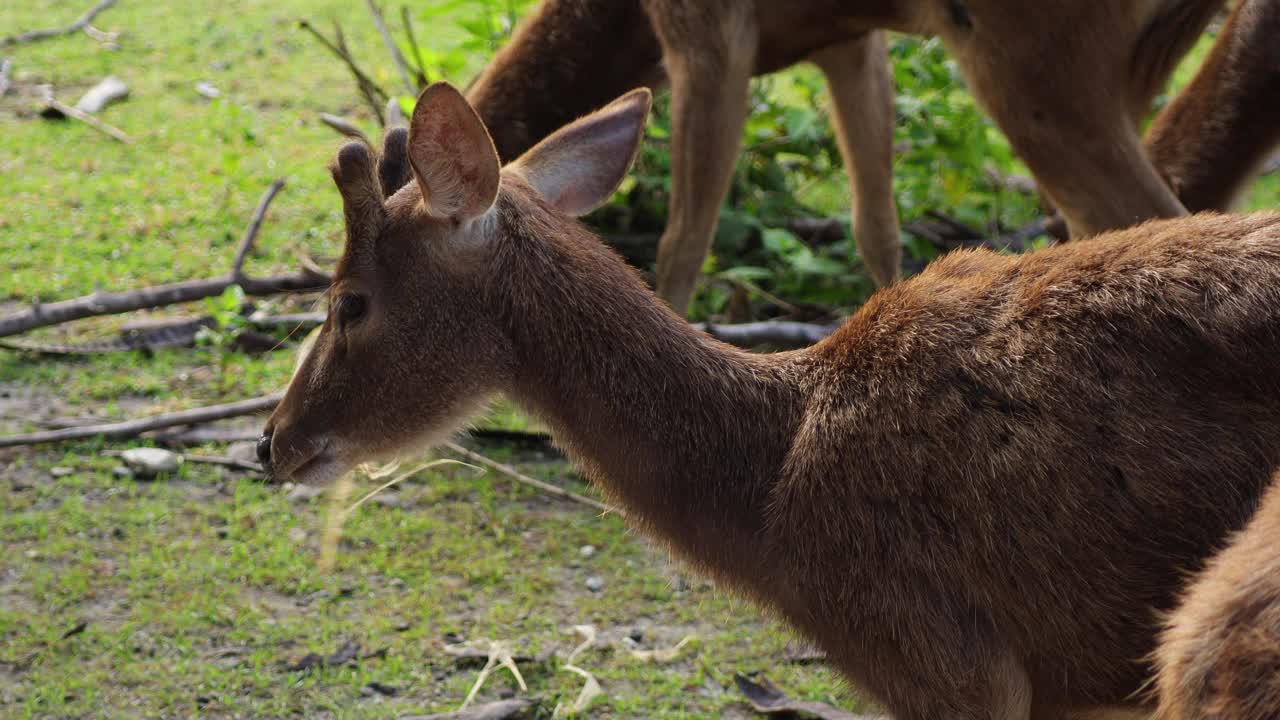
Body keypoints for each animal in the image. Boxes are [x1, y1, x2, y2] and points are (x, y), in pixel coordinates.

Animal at [468, 0, 1280, 313]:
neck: (618, 20)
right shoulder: (848, 41)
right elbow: (876, 226)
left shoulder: (706, 33)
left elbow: (682, 241)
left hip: (1035, 71)